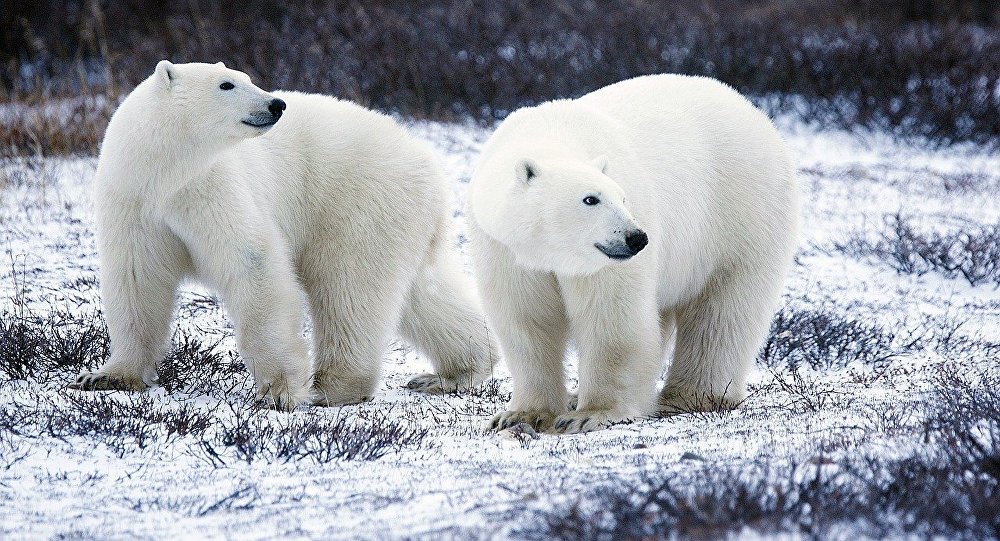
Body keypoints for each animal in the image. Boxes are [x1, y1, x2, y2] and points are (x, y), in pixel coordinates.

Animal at [70, 61, 497, 410]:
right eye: (227, 84)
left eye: (247, 77)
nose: (276, 104)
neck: (164, 171)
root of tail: (429, 163)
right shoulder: (134, 200)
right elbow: (137, 278)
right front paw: (106, 376)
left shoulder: (212, 187)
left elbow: (253, 263)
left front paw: (278, 391)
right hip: (401, 218)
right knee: (422, 292)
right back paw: (454, 372)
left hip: (359, 202)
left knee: (348, 287)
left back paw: (334, 386)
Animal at [469, 74, 800, 434]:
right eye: (591, 199)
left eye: (622, 197)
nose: (636, 238)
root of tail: (754, 112)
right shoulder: (505, 249)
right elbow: (526, 319)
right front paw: (520, 415)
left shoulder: (604, 261)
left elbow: (612, 317)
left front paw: (590, 413)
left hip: (740, 214)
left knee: (723, 311)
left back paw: (690, 396)